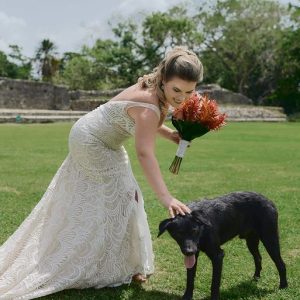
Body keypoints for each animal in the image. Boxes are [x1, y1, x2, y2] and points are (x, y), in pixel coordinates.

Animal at [158, 192, 288, 300]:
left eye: (194, 231)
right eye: (178, 234)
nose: (189, 251)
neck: (203, 229)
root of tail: (269, 201)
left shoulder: (218, 256)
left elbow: (214, 284)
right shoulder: (194, 255)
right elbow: (190, 279)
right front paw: (187, 297)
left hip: (270, 239)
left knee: (281, 264)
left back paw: (283, 286)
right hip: (251, 241)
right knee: (258, 258)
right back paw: (256, 278)